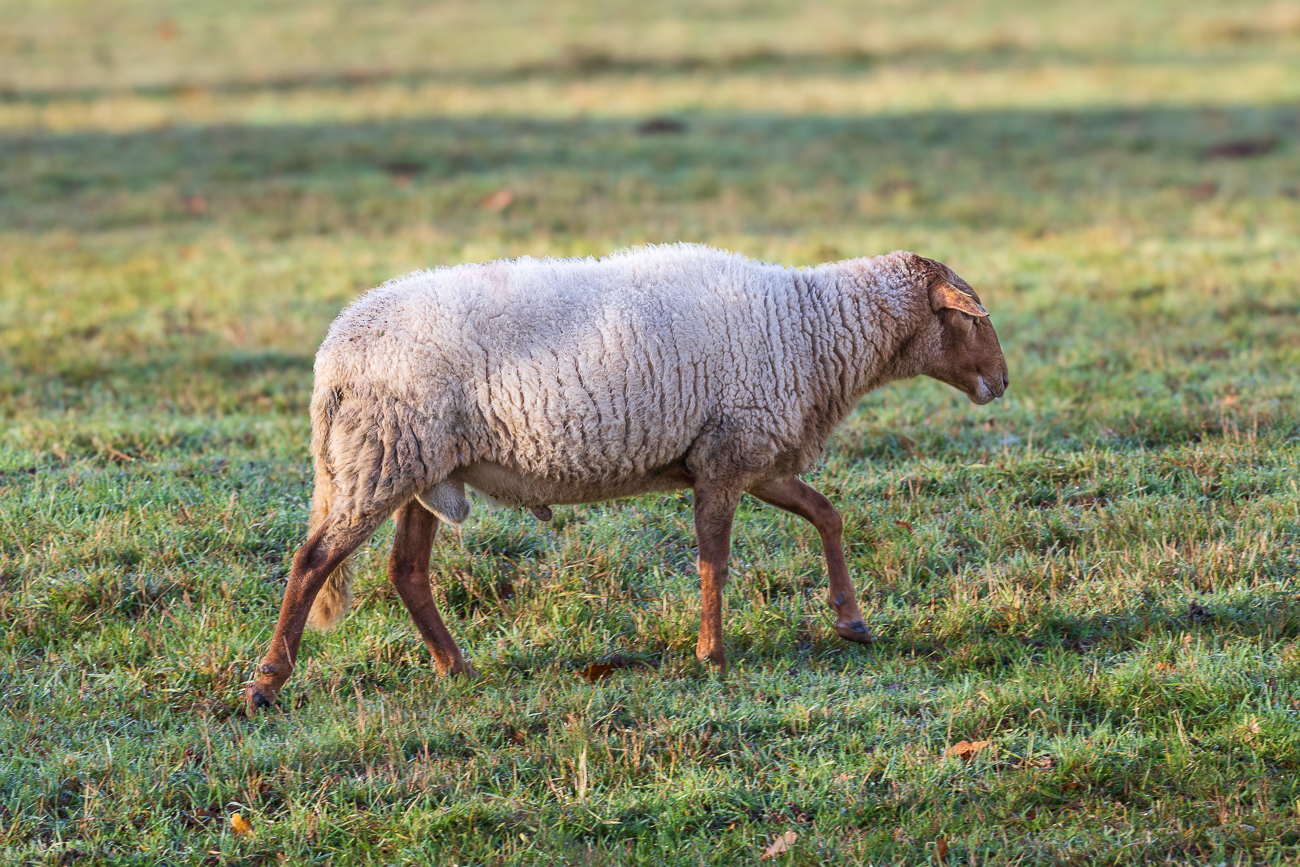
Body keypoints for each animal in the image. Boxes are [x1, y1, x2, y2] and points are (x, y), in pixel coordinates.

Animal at [245, 244, 1008, 711]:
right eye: (972, 318)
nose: (1002, 382)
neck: (811, 328)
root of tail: (333, 351)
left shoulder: (747, 452)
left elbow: (826, 513)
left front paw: (851, 619)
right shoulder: (727, 455)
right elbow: (714, 560)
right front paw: (712, 655)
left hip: (420, 466)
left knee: (405, 570)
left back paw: (456, 667)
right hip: (382, 457)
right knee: (312, 559)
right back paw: (266, 683)